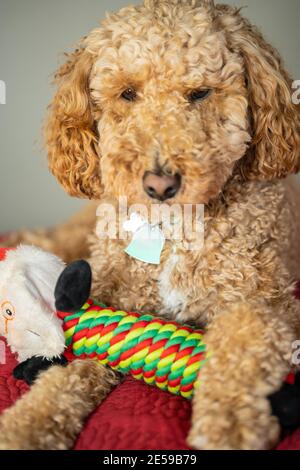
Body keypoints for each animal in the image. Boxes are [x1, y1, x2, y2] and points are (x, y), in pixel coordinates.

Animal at [0, 0, 300, 452]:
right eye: (128, 93)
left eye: (200, 93)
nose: (160, 184)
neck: (171, 229)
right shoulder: (107, 307)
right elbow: (66, 375)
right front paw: (25, 424)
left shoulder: (270, 303)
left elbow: (239, 340)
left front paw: (228, 423)